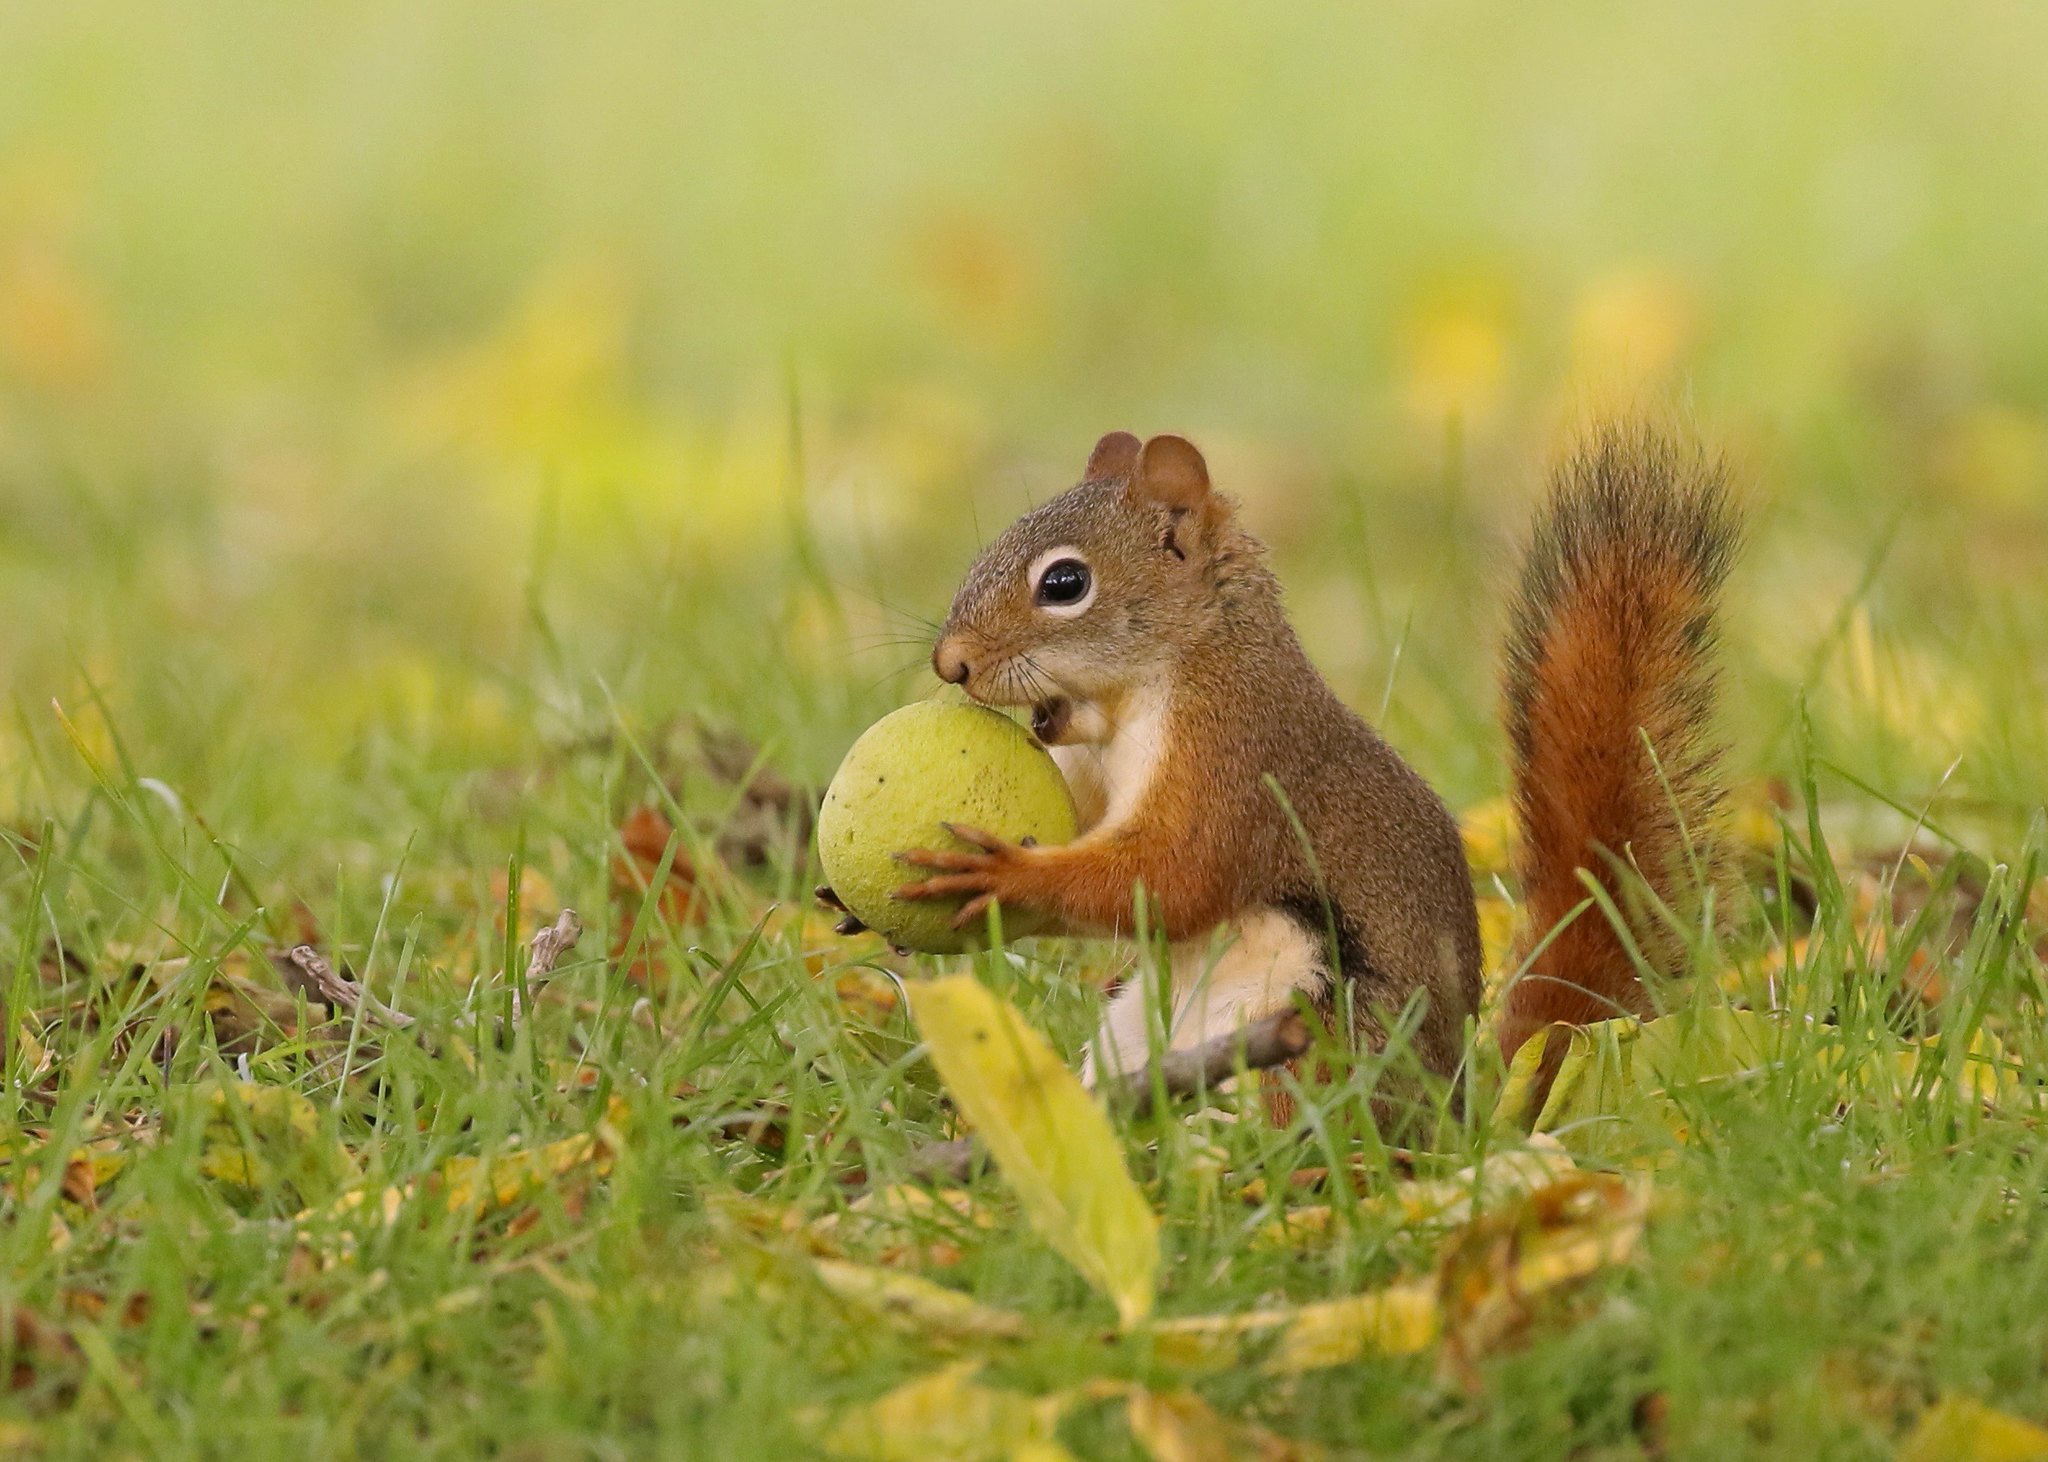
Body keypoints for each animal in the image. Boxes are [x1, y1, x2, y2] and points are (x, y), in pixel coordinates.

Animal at [856, 421, 1736, 1105]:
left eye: (1065, 582)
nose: (950, 664)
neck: (1146, 689)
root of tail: (1454, 1123)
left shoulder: (1238, 759)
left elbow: (1175, 875)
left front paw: (1000, 875)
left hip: (1309, 1032)